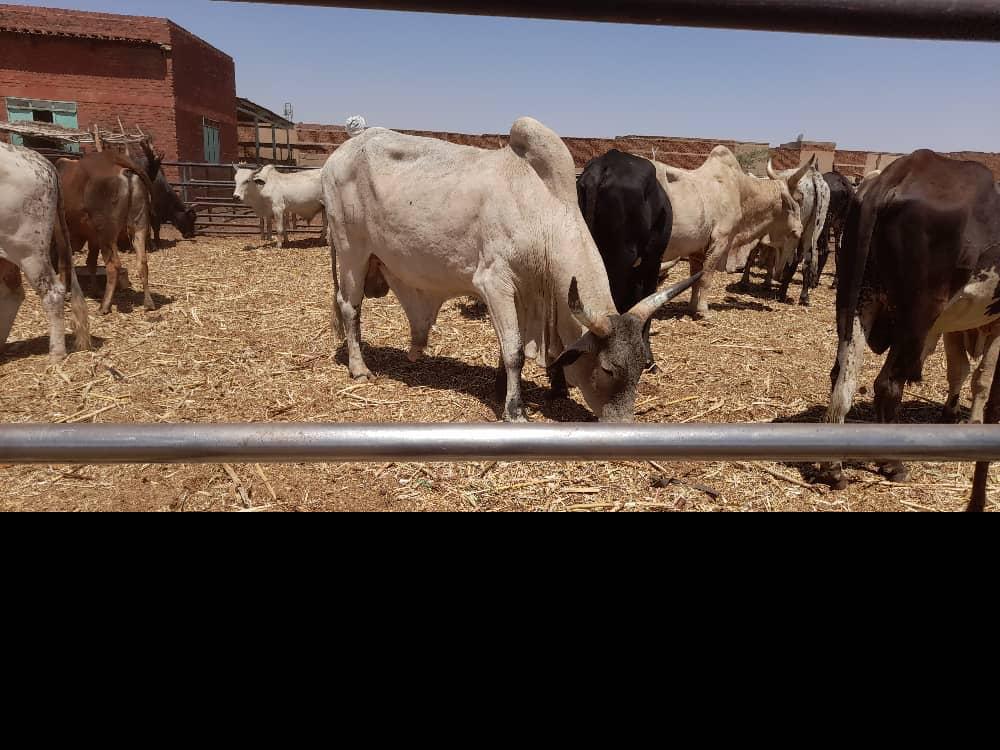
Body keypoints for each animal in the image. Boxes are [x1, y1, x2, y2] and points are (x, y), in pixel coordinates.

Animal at [58, 150, 157, 314]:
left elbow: (64, 263)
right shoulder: (92, 237)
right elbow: (90, 263)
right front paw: (95, 290)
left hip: (106, 233)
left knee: (113, 266)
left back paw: (104, 306)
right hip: (139, 226)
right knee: (142, 262)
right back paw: (148, 303)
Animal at [652, 147, 806, 318]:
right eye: (796, 202)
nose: (800, 229)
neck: (740, 192)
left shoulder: (697, 249)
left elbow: (695, 279)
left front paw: (692, 307)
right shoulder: (720, 241)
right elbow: (706, 278)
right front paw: (703, 310)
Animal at [819, 149, 1000, 507]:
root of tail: (898, 173)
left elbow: (960, 371)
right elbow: (981, 378)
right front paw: (974, 421)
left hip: (857, 300)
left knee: (843, 378)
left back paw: (834, 467)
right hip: (917, 313)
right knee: (888, 384)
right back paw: (893, 463)